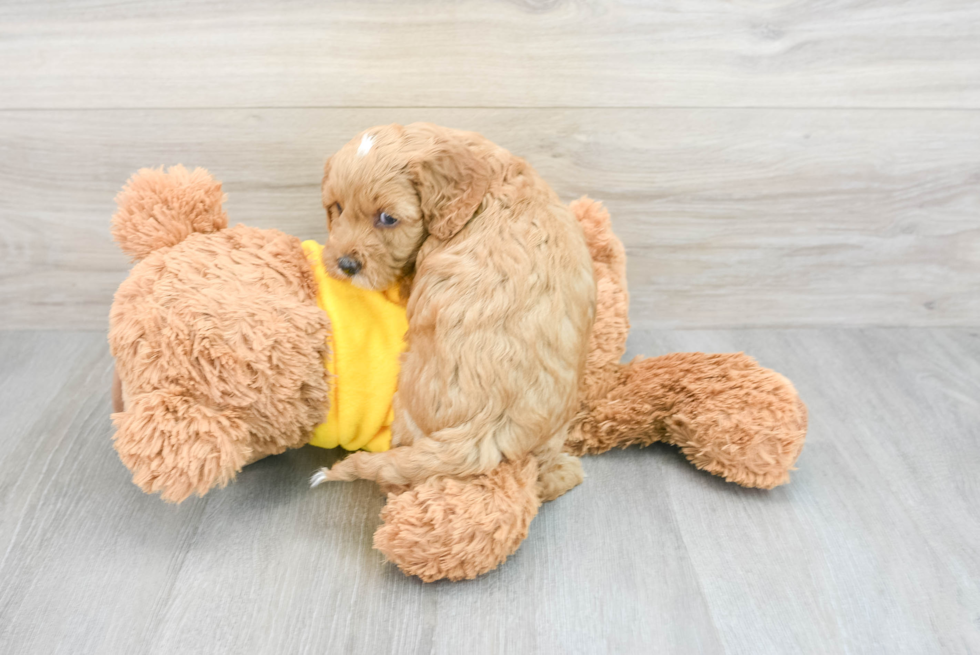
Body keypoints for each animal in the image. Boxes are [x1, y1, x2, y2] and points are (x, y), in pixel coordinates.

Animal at [314, 124, 592, 502]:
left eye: (388, 218)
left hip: (410, 400)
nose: (345, 265)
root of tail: (489, 425)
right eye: (337, 207)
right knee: (548, 476)